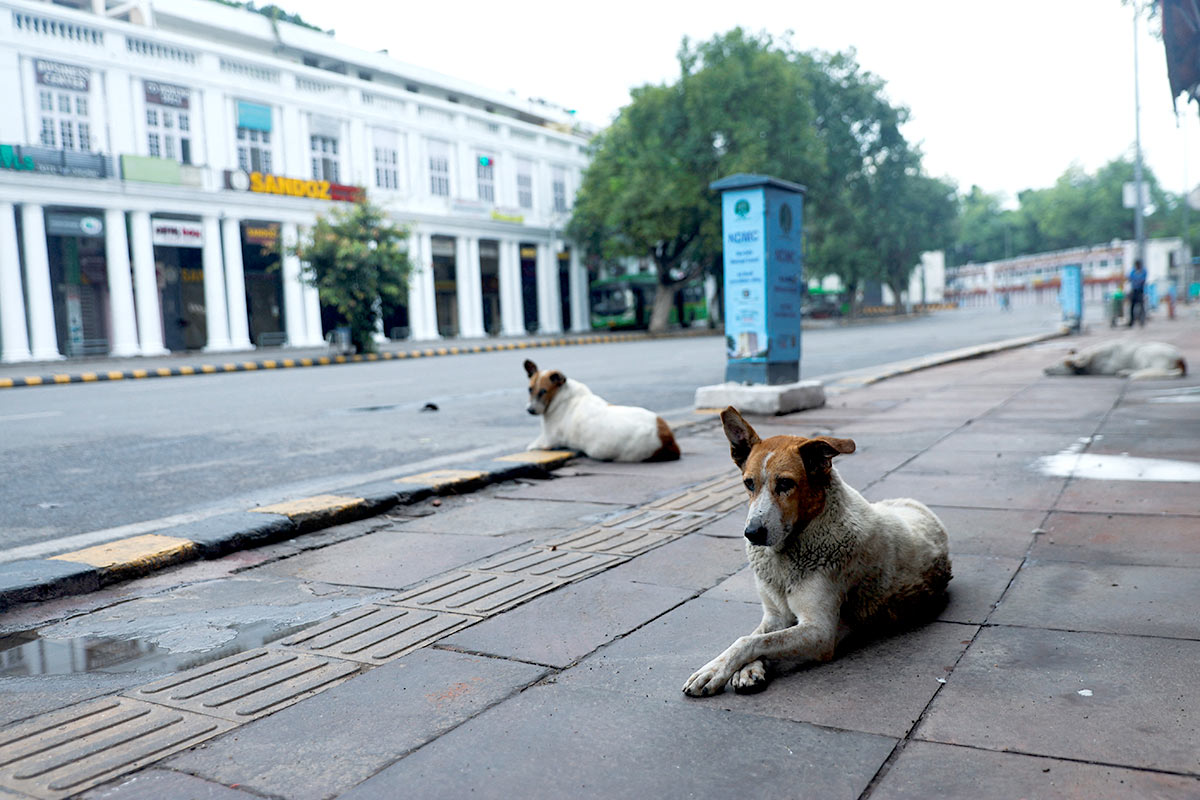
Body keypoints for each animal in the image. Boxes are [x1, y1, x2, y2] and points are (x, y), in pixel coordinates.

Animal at [523, 357, 681, 462]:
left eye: (543, 391)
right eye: (530, 389)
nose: (530, 410)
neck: (561, 397)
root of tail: (667, 438)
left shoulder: (547, 441)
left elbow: (532, 446)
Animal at [686, 410, 955, 695]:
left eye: (785, 483)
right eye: (749, 483)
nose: (752, 533)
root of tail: (914, 503)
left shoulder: (820, 631)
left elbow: (750, 641)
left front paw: (716, 671)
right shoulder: (775, 615)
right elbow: (757, 636)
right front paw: (745, 669)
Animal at [1041, 340, 1190, 381]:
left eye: (1058, 365)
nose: (1045, 369)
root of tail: (1180, 357)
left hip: (1145, 353)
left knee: (1158, 370)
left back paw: (1127, 372)